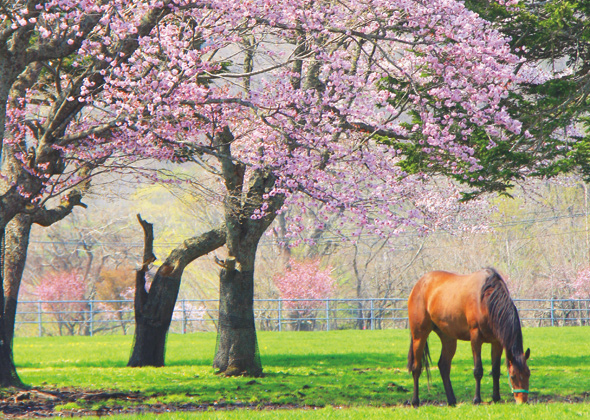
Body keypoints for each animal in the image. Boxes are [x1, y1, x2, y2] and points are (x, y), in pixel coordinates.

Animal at [410, 270, 536, 406]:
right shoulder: (476, 338)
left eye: (528, 373)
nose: (522, 401)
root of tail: (418, 284)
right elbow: (478, 371)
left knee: (444, 366)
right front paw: (477, 399)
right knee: (416, 368)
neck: (485, 301)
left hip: (449, 339)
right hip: (419, 336)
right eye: (513, 376)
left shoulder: (496, 343)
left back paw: (451, 400)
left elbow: (495, 371)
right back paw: (415, 401)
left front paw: (496, 397)